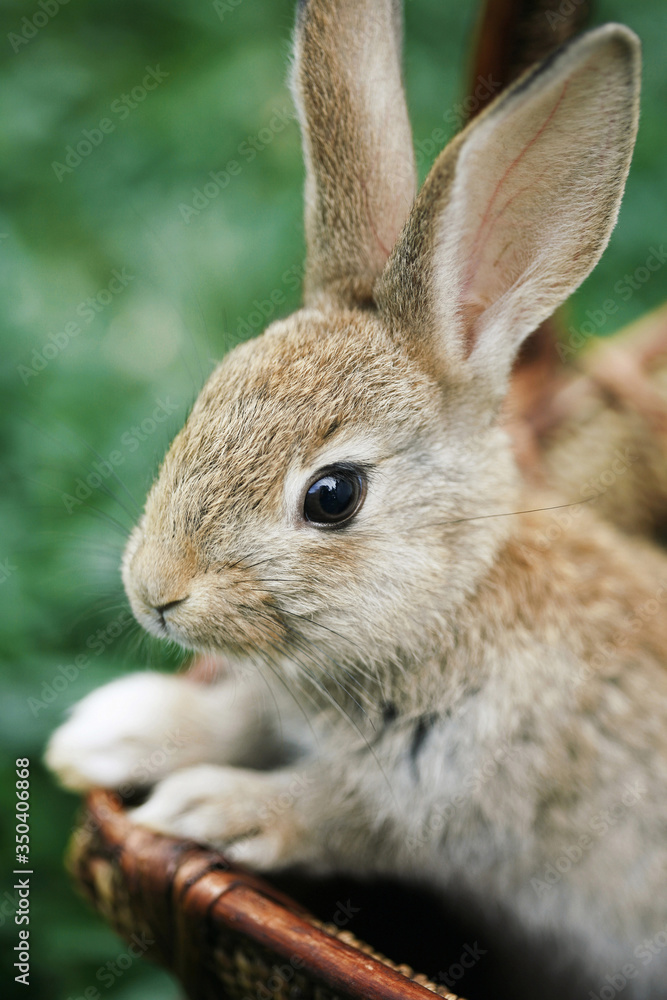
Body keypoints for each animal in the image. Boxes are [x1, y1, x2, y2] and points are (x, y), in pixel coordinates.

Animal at [47, 2, 667, 995]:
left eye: (332, 495)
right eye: (210, 394)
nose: (155, 594)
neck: (448, 603)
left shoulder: (432, 806)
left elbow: (328, 813)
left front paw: (203, 808)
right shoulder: (274, 697)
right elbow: (228, 714)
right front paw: (107, 733)